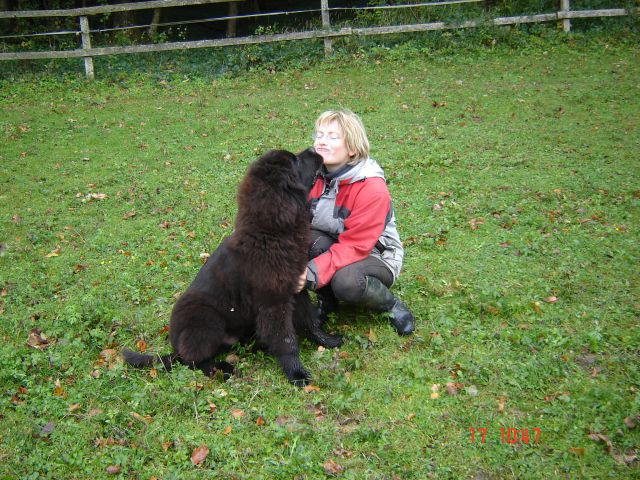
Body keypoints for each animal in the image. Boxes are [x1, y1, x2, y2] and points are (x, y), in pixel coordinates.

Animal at [125, 148, 344, 384]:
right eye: (295, 160)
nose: (314, 150)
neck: (269, 233)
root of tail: (174, 348)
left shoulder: (296, 287)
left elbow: (310, 320)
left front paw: (327, 341)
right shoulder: (274, 301)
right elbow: (286, 340)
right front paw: (297, 374)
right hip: (207, 320)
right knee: (193, 361)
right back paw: (224, 369)